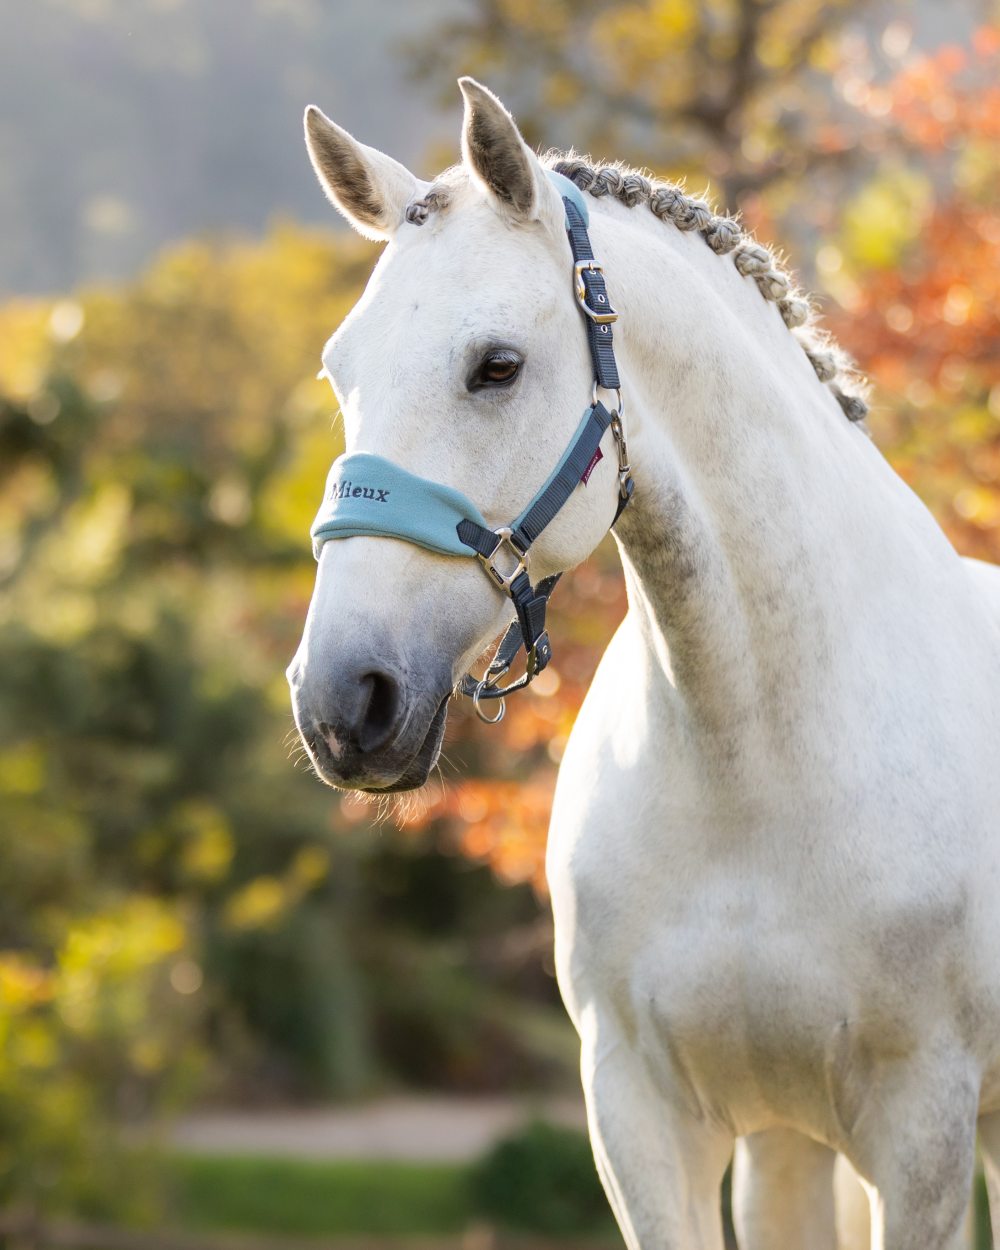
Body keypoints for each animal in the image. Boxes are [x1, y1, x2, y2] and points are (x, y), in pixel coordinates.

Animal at [287, 80, 1000, 1250]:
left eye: (496, 366)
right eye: (339, 369)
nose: (345, 699)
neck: (756, 770)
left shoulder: (923, 1134)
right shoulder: (647, 1119)